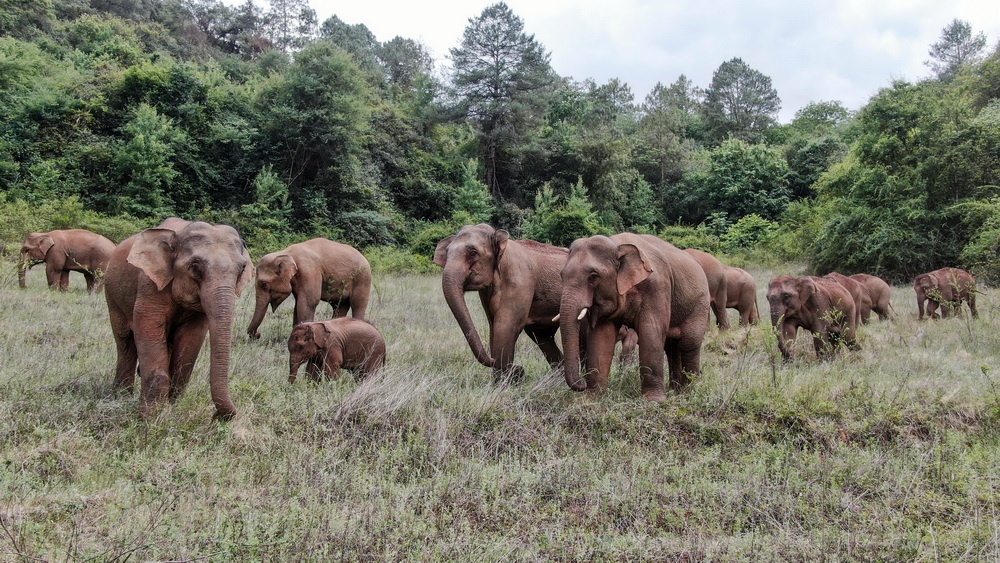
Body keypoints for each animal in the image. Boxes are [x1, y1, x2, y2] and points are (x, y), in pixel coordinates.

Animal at [104, 218, 254, 420]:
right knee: (125, 342)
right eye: (195, 267)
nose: (217, 416)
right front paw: (149, 418)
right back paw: (121, 396)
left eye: (242, 269)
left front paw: (171, 407)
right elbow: (148, 327)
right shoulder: (150, 284)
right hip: (112, 296)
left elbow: (190, 341)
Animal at [434, 225, 568, 384]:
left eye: (473, 253)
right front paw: (499, 382)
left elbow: (505, 326)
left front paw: (504, 383)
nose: (519, 369)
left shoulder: (520, 281)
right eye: (447, 253)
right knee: (542, 335)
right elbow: (494, 326)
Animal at [556, 234, 712, 400]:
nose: (582, 383)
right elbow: (601, 337)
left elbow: (651, 333)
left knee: (689, 343)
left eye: (593, 276)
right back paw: (676, 390)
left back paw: (688, 392)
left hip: (700, 305)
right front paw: (593, 397)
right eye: (561, 275)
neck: (617, 245)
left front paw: (654, 400)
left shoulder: (657, 288)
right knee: (671, 347)